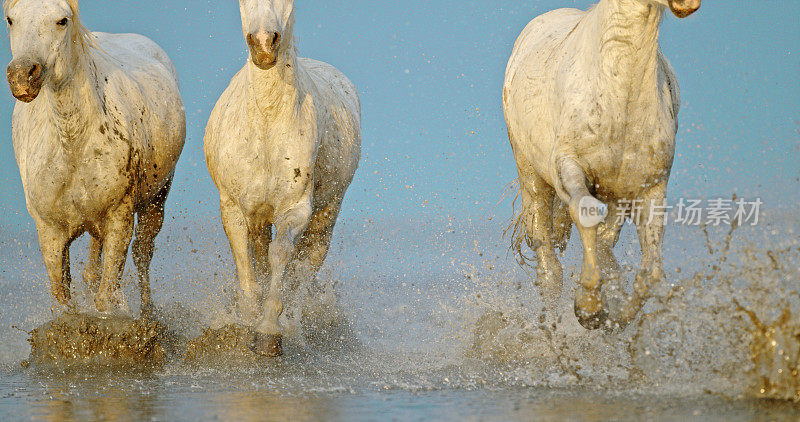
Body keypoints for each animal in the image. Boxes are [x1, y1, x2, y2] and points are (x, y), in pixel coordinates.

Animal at [5, 0, 186, 316]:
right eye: (10, 19)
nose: (22, 76)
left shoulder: (119, 219)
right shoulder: (50, 232)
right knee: (93, 270)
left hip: (155, 199)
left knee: (142, 254)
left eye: (62, 20)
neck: (73, 142)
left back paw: (148, 314)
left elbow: (106, 297)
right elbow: (64, 300)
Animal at [205, 0, 360, 356]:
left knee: (306, 265)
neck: (266, 122)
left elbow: (281, 257)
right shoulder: (233, 206)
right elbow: (247, 264)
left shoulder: (296, 207)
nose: (264, 45)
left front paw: (267, 333)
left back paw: (293, 326)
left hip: (327, 212)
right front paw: (246, 322)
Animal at [506, 0, 700, 330]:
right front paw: (588, 307)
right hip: (532, 179)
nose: (686, 4)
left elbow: (650, 273)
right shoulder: (568, 166)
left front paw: (614, 314)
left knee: (606, 244)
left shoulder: (650, 188)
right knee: (548, 263)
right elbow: (585, 213)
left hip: (616, 195)